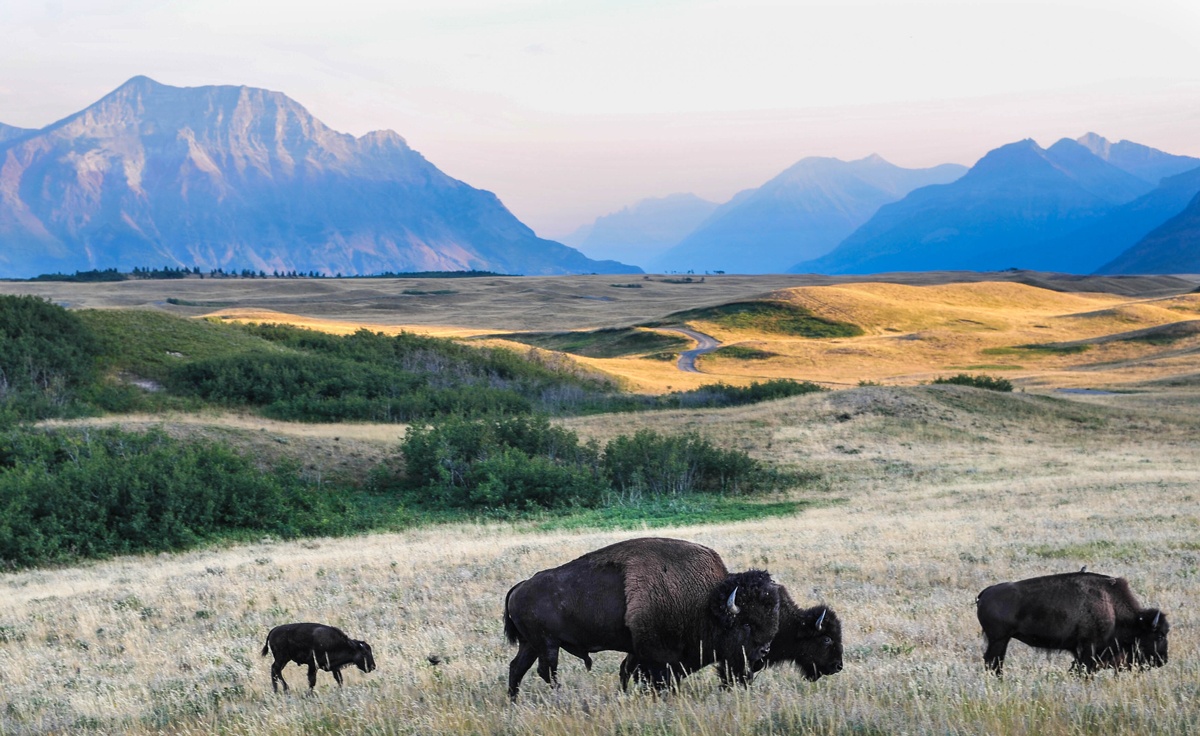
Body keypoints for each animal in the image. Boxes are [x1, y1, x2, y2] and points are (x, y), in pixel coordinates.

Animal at [503, 537, 780, 700]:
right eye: (746, 624)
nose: (762, 654)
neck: (704, 603)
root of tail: (520, 587)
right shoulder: (656, 655)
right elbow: (654, 678)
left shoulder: (637, 651)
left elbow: (626, 671)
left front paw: (625, 696)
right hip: (547, 644)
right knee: (546, 671)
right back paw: (560, 698)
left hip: (531, 644)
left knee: (517, 667)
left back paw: (513, 701)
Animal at [976, 571, 1169, 676]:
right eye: (1159, 635)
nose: (1163, 660)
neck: (1111, 607)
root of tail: (985, 593)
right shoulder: (1088, 649)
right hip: (999, 640)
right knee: (993, 663)